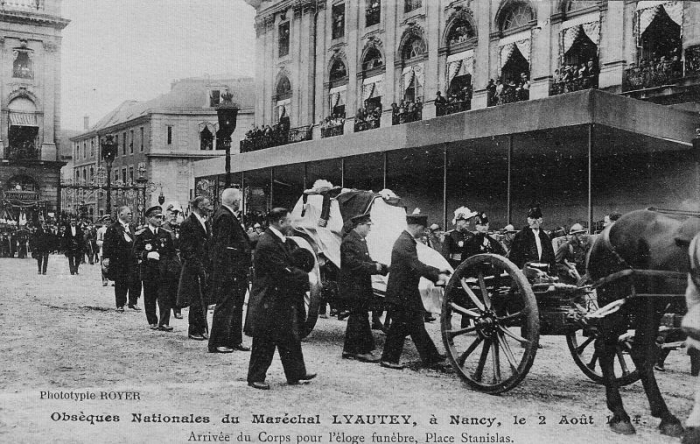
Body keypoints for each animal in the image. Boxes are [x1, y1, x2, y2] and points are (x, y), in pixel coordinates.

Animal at [584, 210, 700, 438]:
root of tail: (604, 233)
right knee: (606, 347)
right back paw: (621, 415)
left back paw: (665, 416)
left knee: (639, 350)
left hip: (650, 305)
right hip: (618, 301)